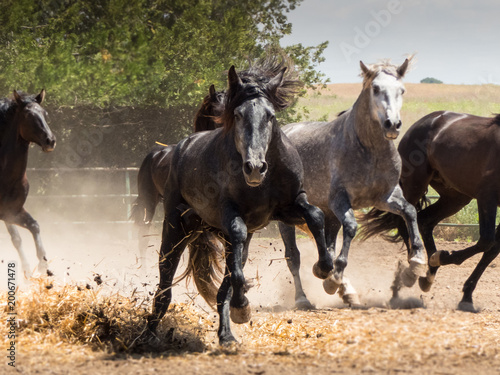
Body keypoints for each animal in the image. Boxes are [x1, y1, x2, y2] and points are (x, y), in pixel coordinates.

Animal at [0, 90, 55, 280]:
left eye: (45, 113)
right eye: (28, 116)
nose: (50, 140)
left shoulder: (12, 211)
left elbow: (32, 227)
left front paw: (41, 266)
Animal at [143, 59, 334, 346]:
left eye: (270, 115)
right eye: (239, 115)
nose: (254, 168)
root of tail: (179, 149)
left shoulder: (288, 206)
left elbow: (315, 215)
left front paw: (324, 269)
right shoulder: (229, 215)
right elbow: (237, 236)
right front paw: (242, 305)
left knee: (224, 286)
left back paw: (227, 334)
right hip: (176, 227)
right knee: (165, 283)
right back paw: (148, 334)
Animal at [278, 57, 426, 306]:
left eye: (402, 90)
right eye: (375, 88)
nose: (392, 124)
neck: (369, 150)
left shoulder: (385, 197)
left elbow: (410, 211)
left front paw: (415, 264)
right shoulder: (340, 200)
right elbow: (351, 227)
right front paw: (334, 278)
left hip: (326, 215)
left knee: (325, 247)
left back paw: (336, 282)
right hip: (288, 218)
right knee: (293, 258)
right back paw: (303, 298)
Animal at [362, 111, 500, 312]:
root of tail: (428, 119)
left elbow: (492, 249)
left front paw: (467, 297)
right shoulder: (486, 196)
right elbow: (486, 242)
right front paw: (440, 257)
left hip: (455, 197)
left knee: (425, 221)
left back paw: (427, 276)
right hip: (415, 183)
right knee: (406, 220)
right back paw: (413, 270)